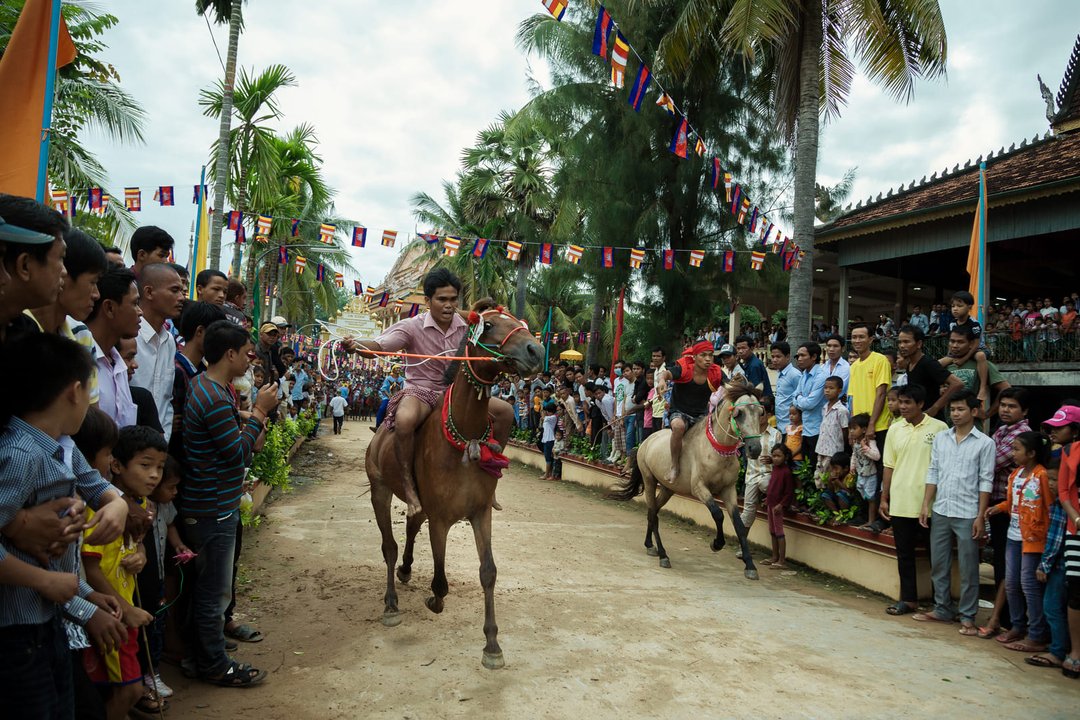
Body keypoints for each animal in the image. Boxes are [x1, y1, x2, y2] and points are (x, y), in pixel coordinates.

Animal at [367, 304, 544, 669]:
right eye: (487, 325)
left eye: (520, 323)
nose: (536, 351)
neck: (464, 437)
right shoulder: (441, 519)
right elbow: (440, 581)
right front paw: (433, 601)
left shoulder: (480, 513)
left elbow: (488, 572)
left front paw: (492, 644)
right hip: (379, 489)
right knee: (389, 546)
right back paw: (391, 603)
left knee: (411, 523)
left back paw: (406, 570)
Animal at [609, 386, 768, 582]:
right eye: (739, 413)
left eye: (760, 412)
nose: (755, 448)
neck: (716, 450)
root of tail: (645, 442)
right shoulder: (699, 488)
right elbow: (718, 515)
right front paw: (716, 543)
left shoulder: (728, 490)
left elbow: (738, 524)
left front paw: (750, 565)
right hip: (649, 480)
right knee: (653, 514)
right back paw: (663, 554)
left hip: (668, 489)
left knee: (653, 512)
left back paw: (650, 545)